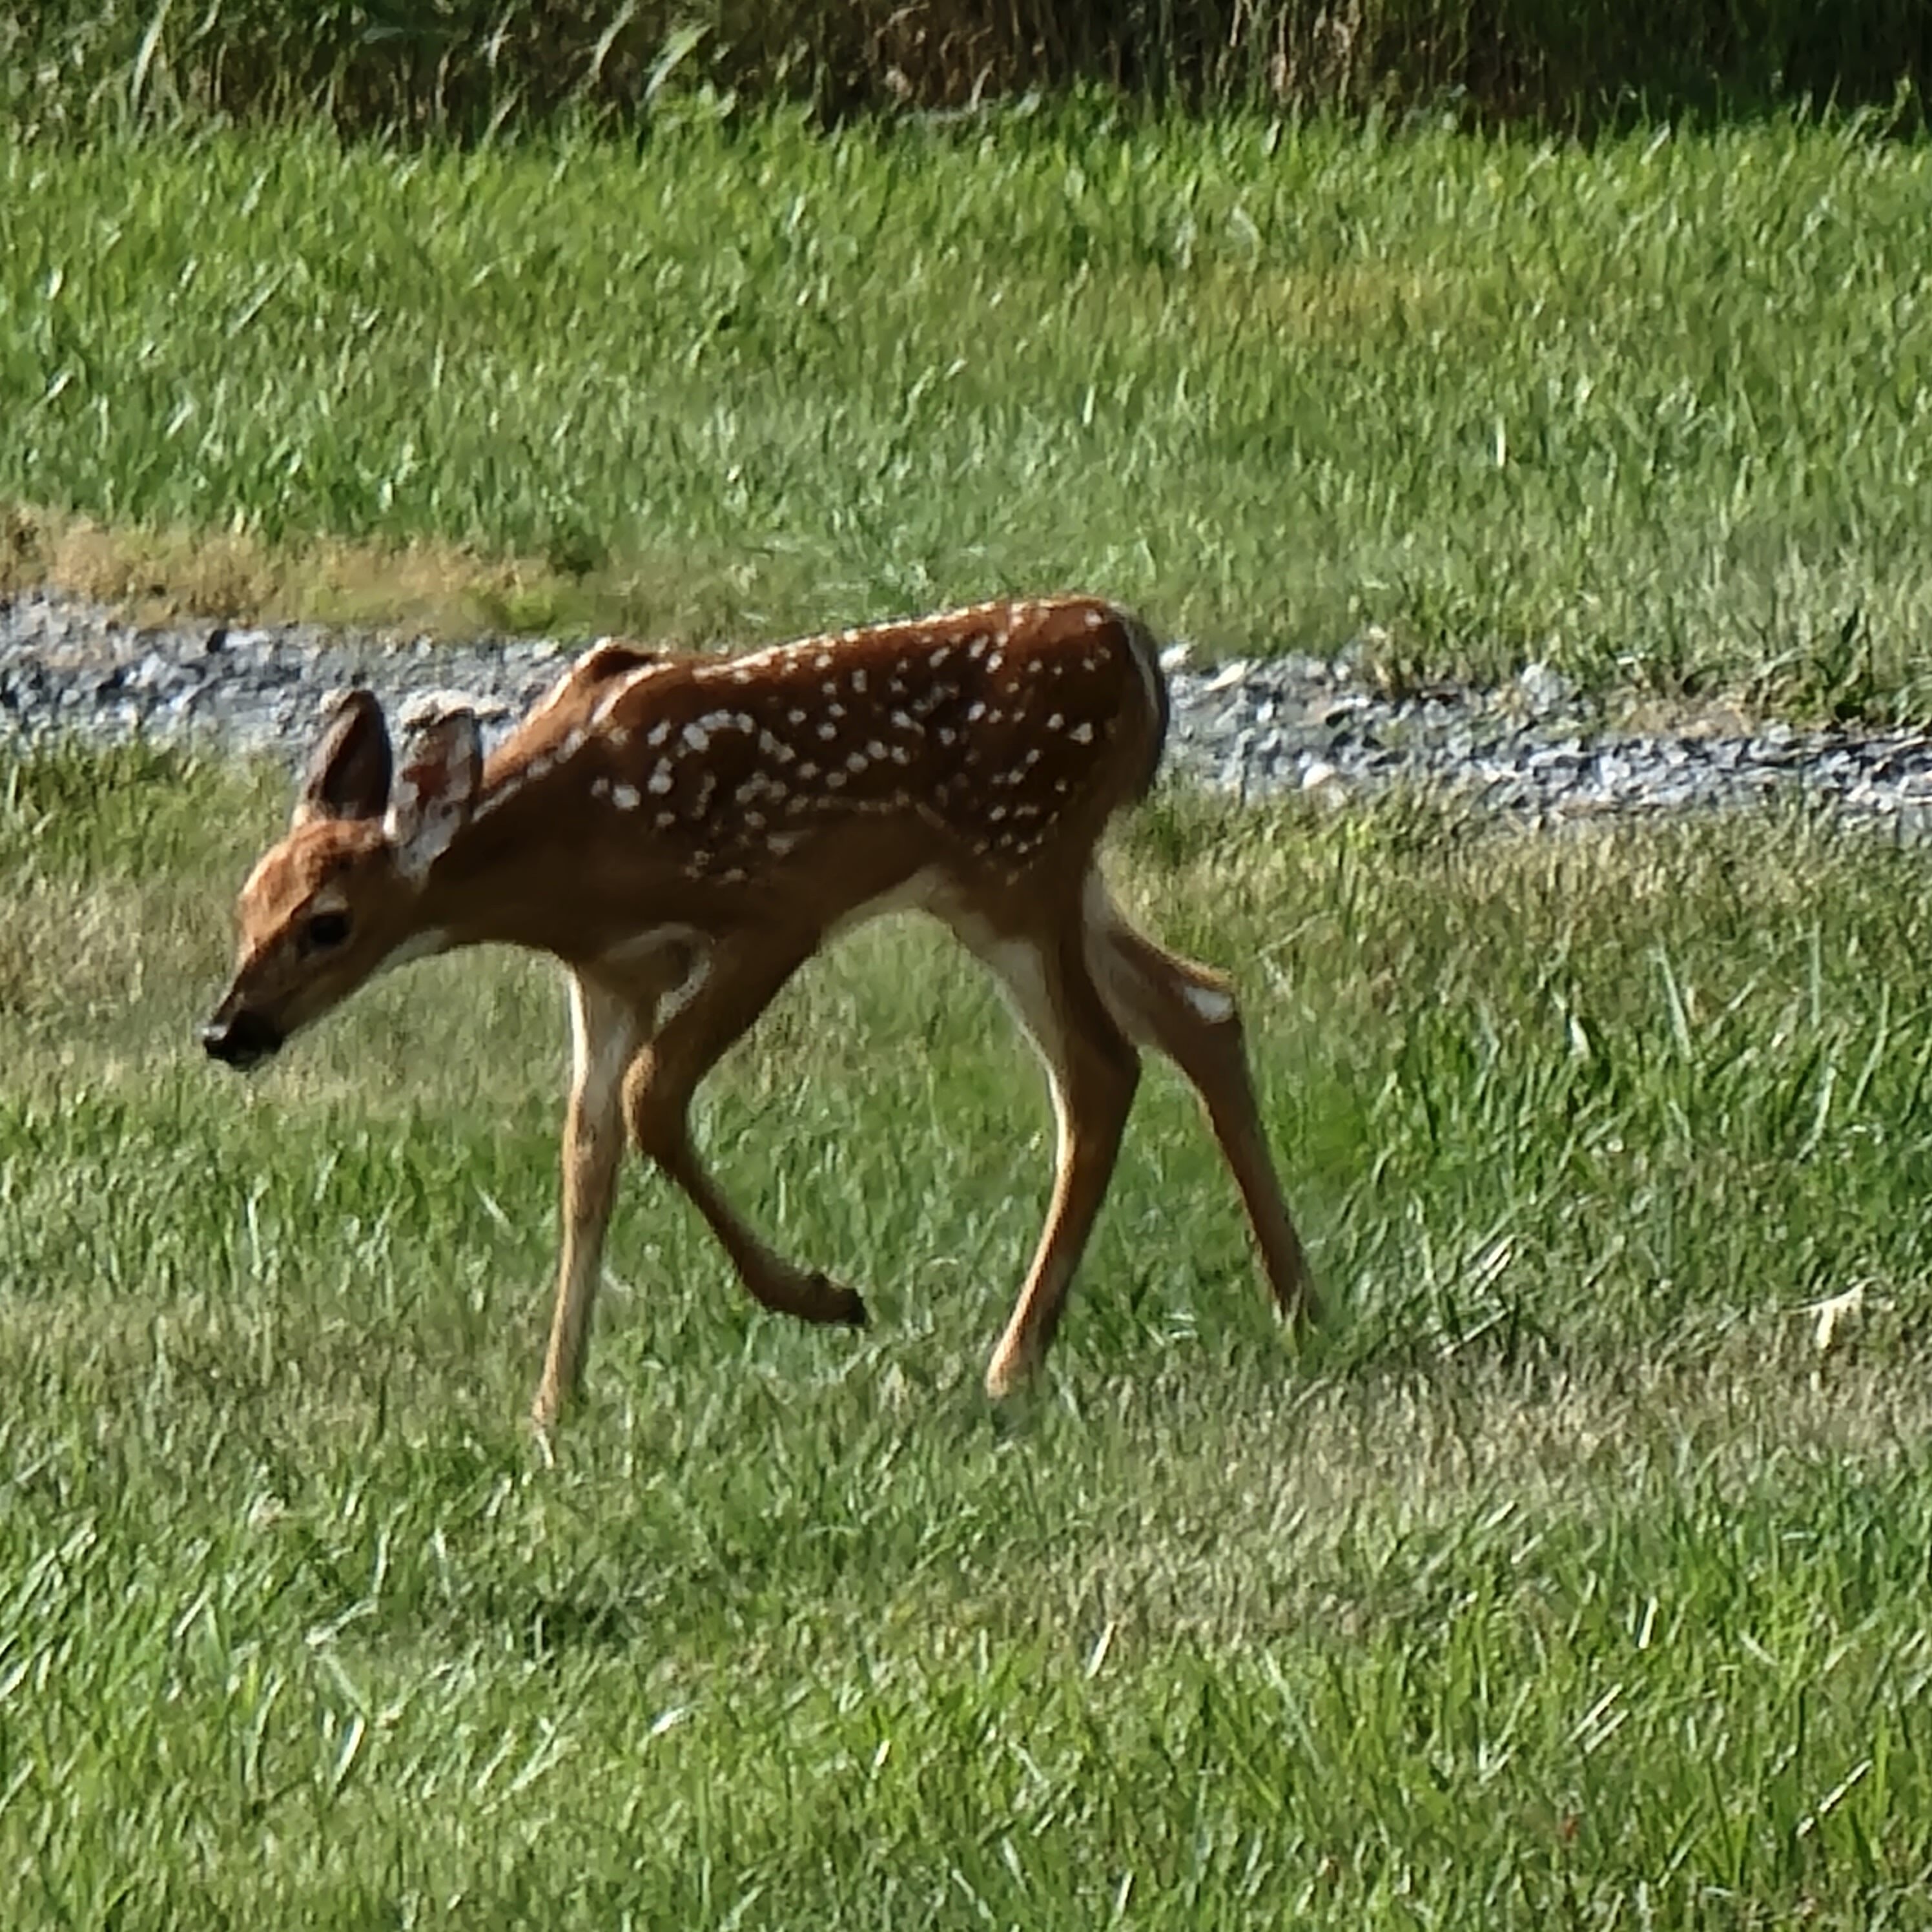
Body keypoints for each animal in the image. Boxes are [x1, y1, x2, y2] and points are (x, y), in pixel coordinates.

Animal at [201, 596, 1320, 1427]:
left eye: (330, 925)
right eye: (246, 903)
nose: (226, 1032)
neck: (573, 846)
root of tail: (1130, 645)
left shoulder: (775, 910)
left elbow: (653, 1099)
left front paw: (826, 1299)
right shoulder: (608, 975)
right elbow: (587, 1154)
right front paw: (555, 1404)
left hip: (1017, 864)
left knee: (1103, 1066)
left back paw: (1013, 1363)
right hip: (1037, 881)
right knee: (1204, 1006)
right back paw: (1298, 1302)